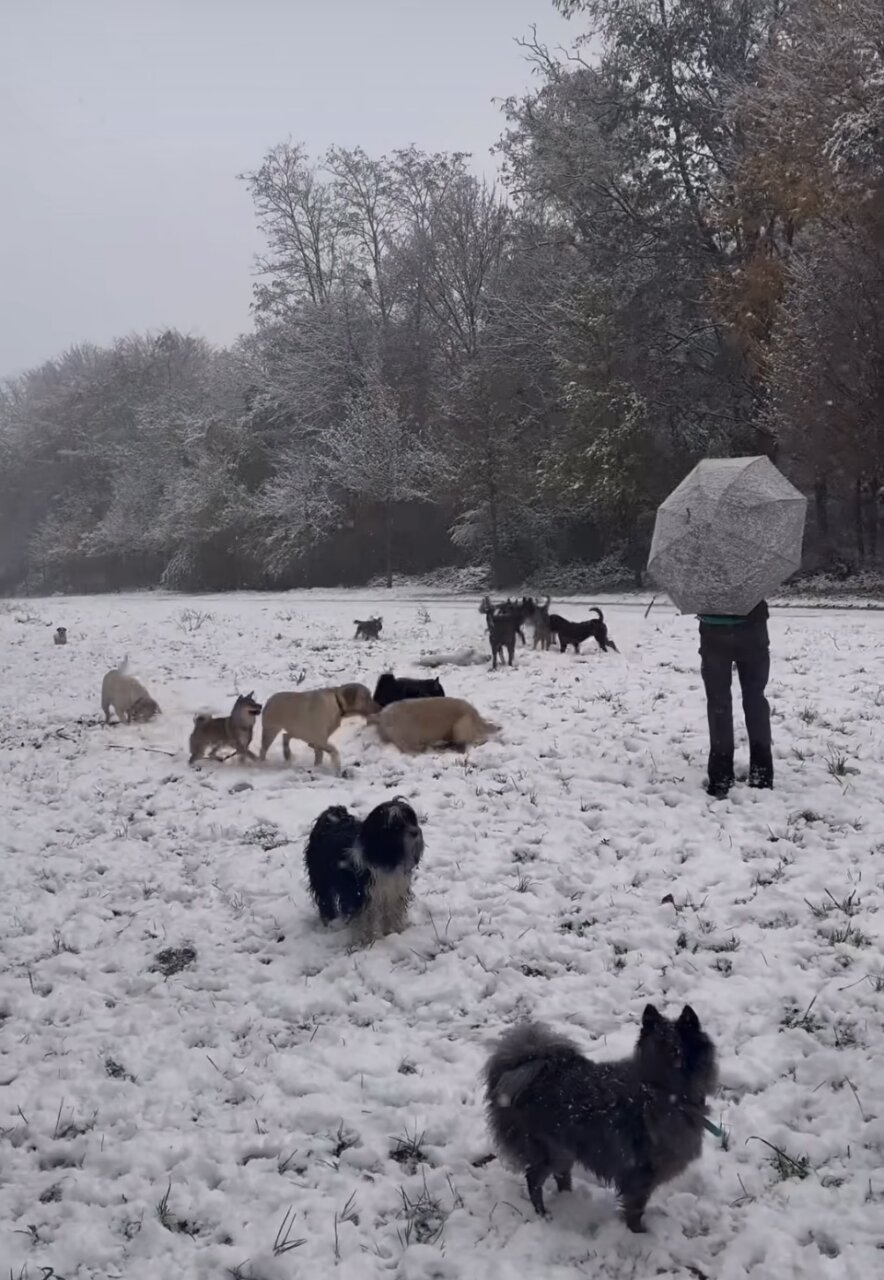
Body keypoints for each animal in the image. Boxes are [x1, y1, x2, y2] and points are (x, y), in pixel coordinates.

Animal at [305, 798, 427, 942]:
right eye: (396, 825)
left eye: (410, 818)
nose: (415, 832)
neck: (386, 858)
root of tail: (331, 815)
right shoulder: (361, 895)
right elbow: (364, 920)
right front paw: (367, 941)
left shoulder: (394, 892)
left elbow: (392, 912)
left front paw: (393, 933)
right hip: (321, 878)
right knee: (325, 900)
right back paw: (330, 922)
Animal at [483, 1003, 721, 1233]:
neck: (661, 1087)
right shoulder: (639, 1179)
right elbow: (635, 1211)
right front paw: (638, 1234)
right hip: (549, 1152)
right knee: (534, 1180)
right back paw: (544, 1214)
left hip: (564, 1150)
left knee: (560, 1176)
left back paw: (569, 1199)